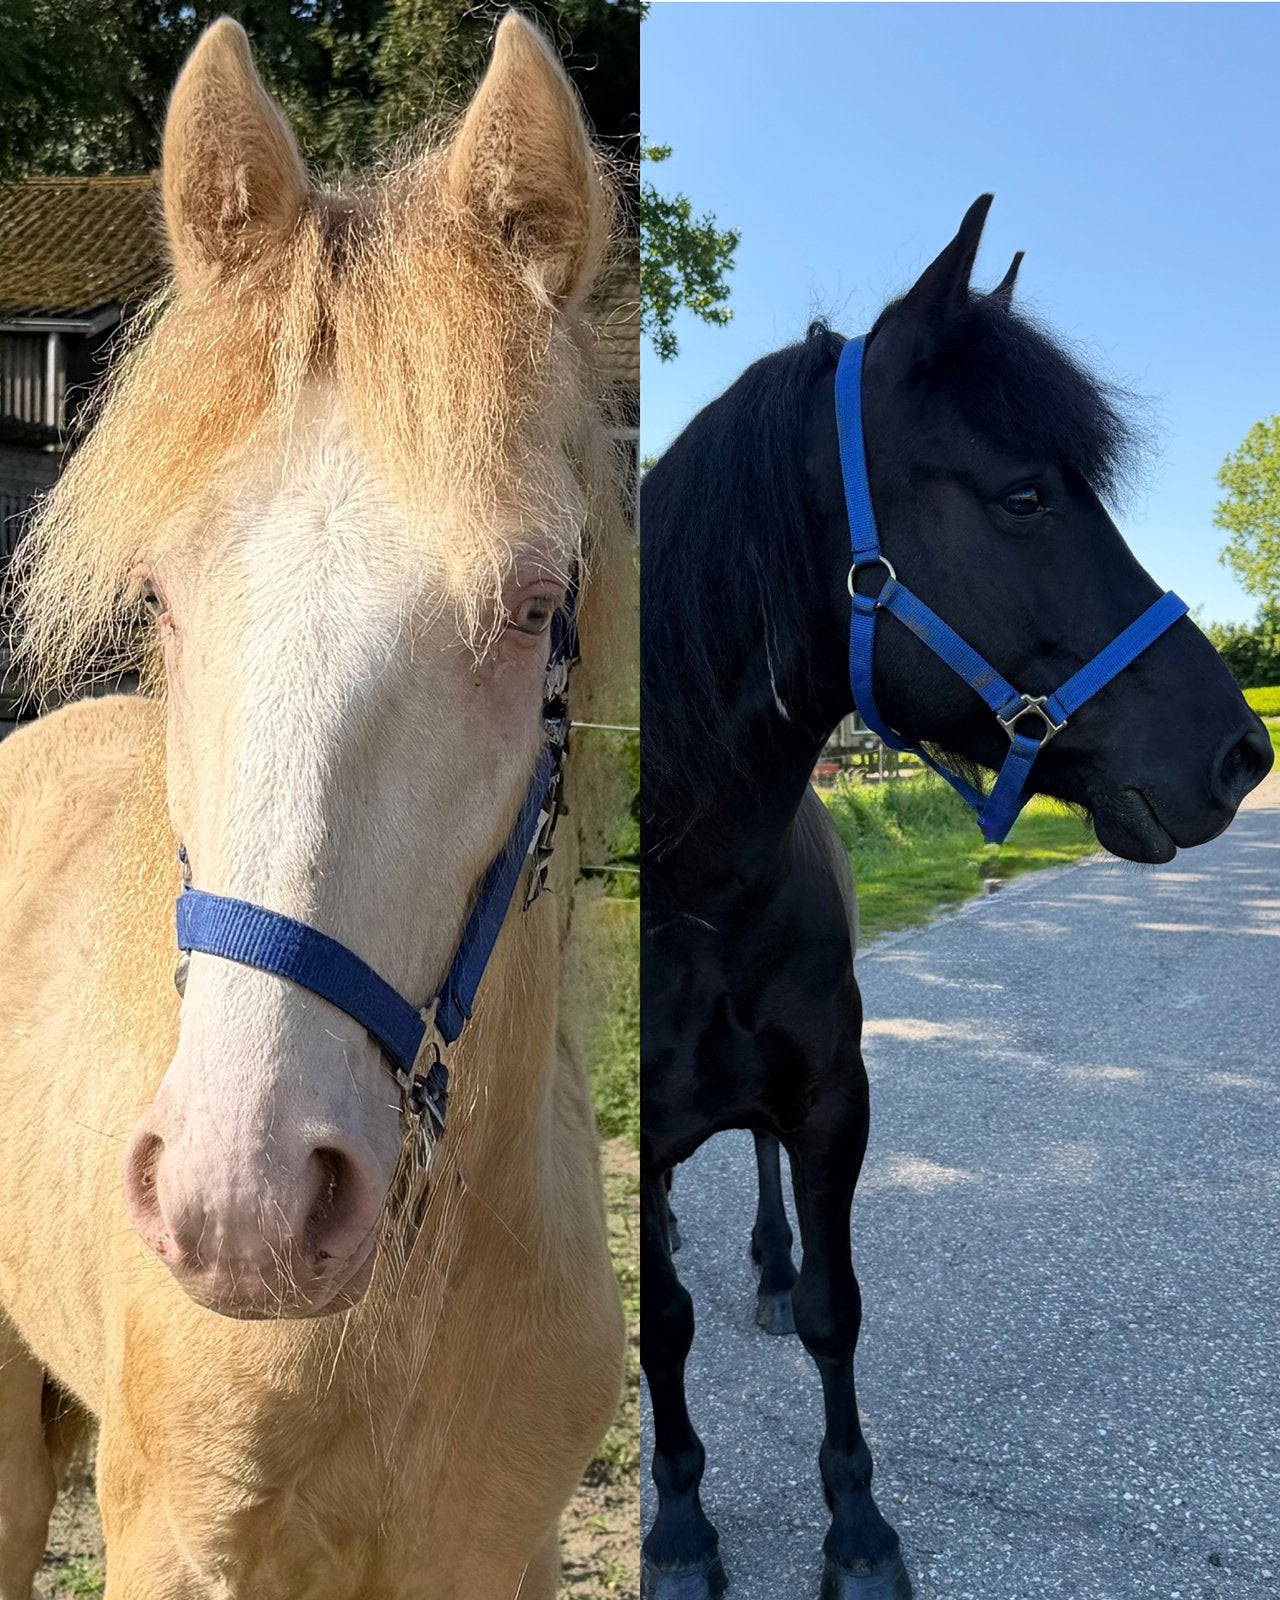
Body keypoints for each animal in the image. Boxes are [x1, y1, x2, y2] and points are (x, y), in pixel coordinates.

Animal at [639, 194, 1272, 1600]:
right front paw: (679, 1529)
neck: (685, 890)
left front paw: (860, 1532)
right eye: (1025, 495)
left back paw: (769, 1261)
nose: (1237, 753)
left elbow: (836, 1312)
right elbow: (659, 1328)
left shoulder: (834, 1098)